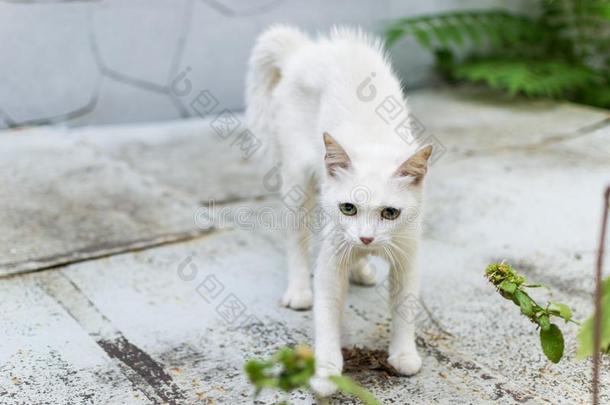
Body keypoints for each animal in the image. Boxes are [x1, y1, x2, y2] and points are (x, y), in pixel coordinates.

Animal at [245, 25, 430, 394]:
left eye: (390, 213)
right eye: (348, 208)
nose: (367, 238)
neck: (374, 145)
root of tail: (303, 51)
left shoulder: (407, 254)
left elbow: (404, 307)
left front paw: (404, 355)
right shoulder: (331, 259)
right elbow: (327, 314)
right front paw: (327, 371)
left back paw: (361, 267)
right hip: (296, 180)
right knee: (296, 239)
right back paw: (299, 290)